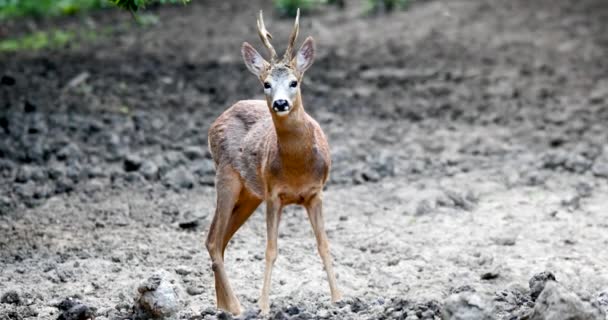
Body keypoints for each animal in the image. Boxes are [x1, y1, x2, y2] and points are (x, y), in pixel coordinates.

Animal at [207, 8, 342, 316]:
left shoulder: (316, 193)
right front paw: (264, 306)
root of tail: (218, 119)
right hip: (227, 177)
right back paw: (236, 307)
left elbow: (324, 245)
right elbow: (270, 249)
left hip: (249, 194)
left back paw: (223, 306)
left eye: (295, 82)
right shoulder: (273, 194)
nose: (280, 103)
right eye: (266, 84)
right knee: (213, 241)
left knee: (220, 239)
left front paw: (340, 299)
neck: (297, 168)